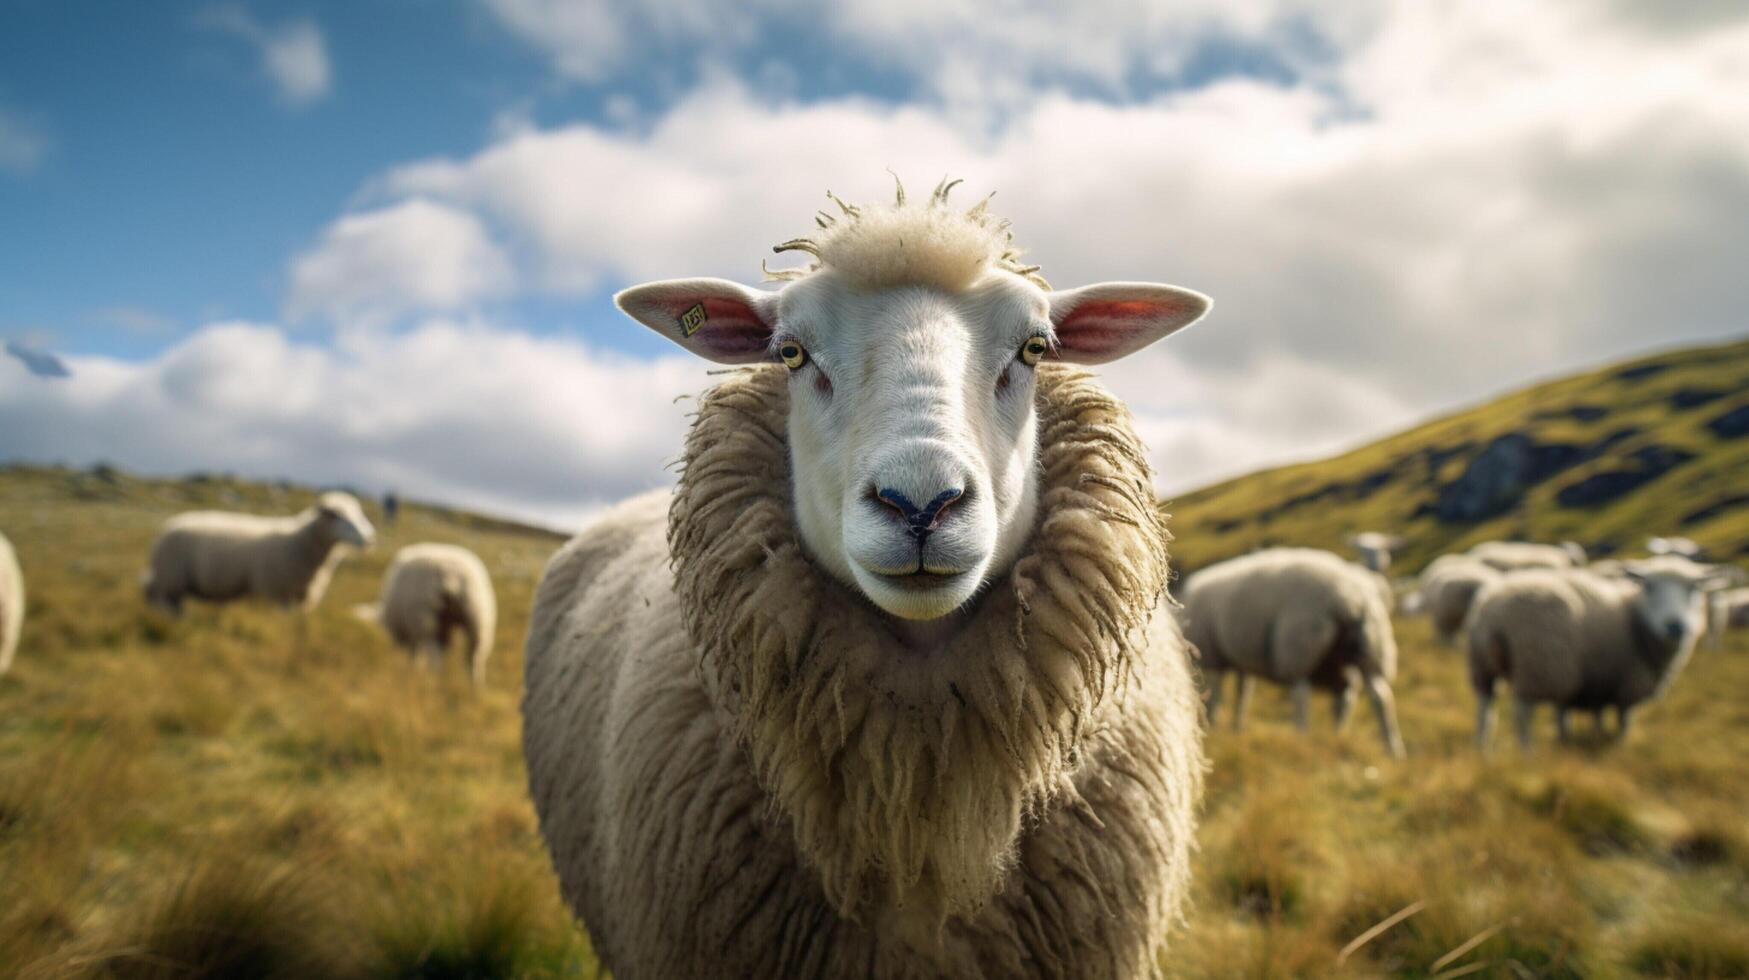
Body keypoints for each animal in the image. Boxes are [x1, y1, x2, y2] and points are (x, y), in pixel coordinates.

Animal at [145, 490, 374, 612]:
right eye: (335, 515)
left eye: (359, 511)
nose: (369, 536)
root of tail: (168, 526)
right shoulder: (276, 592)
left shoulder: (300, 600)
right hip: (170, 580)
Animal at [362, 542, 496, 689]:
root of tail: (451, 576)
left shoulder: (407, 633)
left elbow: (414, 654)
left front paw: (413, 670)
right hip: (477, 616)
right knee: (474, 657)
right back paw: (475, 687)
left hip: (428, 621)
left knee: (435, 656)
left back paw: (434, 679)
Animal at [1175, 553, 1406, 759]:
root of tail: (1351, 598)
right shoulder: (1242, 661)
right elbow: (1243, 695)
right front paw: (1237, 727)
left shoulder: (1215, 656)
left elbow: (1217, 696)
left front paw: (1214, 725)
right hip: (1370, 649)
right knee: (1377, 696)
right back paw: (1386, 746)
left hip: (1298, 645)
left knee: (1302, 694)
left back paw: (1301, 734)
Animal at [1469, 560, 1728, 749]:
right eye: (1649, 586)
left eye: (1694, 587)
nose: (1675, 626)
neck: (1634, 618)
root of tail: (1493, 609)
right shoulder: (1626, 684)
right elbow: (1624, 720)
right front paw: (1621, 744)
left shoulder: (1597, 681)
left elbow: (1587, 714)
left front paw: (1582, 737)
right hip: (1537, 667)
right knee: (1522, 716)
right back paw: (1528, 755)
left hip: (1484, 668)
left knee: (1484, 711)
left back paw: (1483, 750)